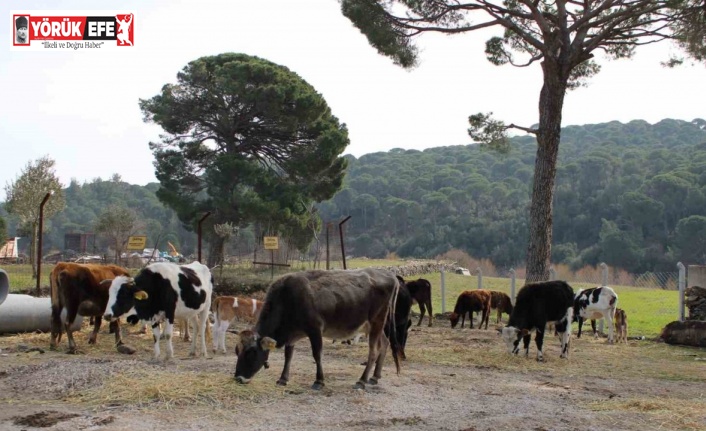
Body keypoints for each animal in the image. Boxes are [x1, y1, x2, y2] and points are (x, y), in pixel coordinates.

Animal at [234, 266, 398, 392]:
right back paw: (375, 377)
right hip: (373, 326)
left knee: (374, 350)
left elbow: (317, 354)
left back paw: (362, 380)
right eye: (237, 351)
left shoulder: (315, 329)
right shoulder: (291, 335)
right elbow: (288, 356)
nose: (238, 378)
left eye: (251, 352)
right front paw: (283, 379)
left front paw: (319, 381)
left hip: (377, 321)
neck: (287, 298)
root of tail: (389, 275)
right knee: (385, 343)